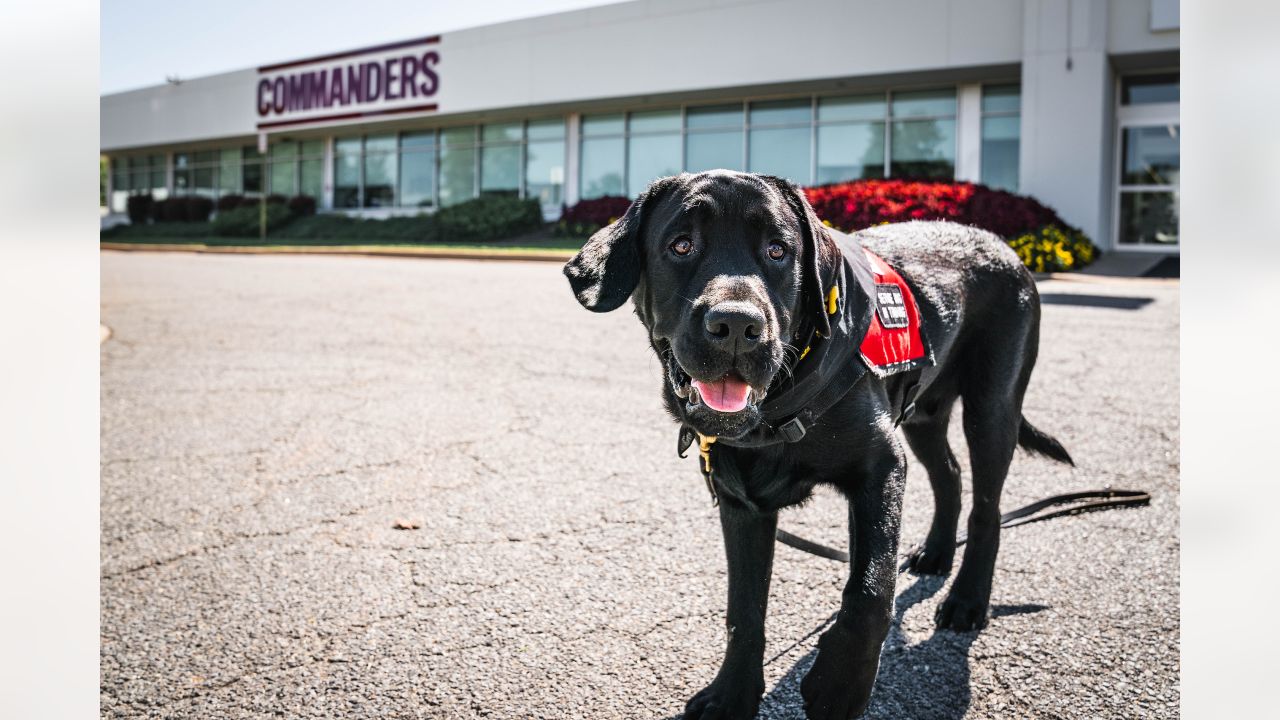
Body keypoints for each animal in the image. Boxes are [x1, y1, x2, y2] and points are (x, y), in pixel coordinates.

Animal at [565, 170, 1075, 712]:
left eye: (777, 250)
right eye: (681, 245)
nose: (737, 326)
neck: (777, 410)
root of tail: (1002, 246)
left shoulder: (881, 468)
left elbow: (871, 590)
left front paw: (839, 686)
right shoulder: (741, 503)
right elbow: (743, 611)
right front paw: (731, 694)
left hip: (992, 406)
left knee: (987, 507)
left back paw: (967, 599)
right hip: (923, 414)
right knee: (951, 475)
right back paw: (937, 552)